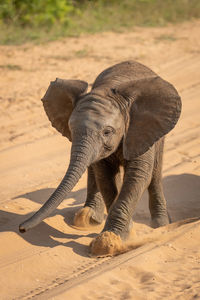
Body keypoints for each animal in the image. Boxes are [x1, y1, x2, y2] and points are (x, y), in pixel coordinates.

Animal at [19, 60, 181, 255]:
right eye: (71, 129)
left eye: (107, 132)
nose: (21, 228)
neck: (108, 90)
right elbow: (105, 177)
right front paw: (122, 235)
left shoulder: (141, 128)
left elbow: (138, 176)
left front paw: (108, 243)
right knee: (93, 170)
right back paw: (86, 219)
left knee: (155, 173)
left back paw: (161, 224)